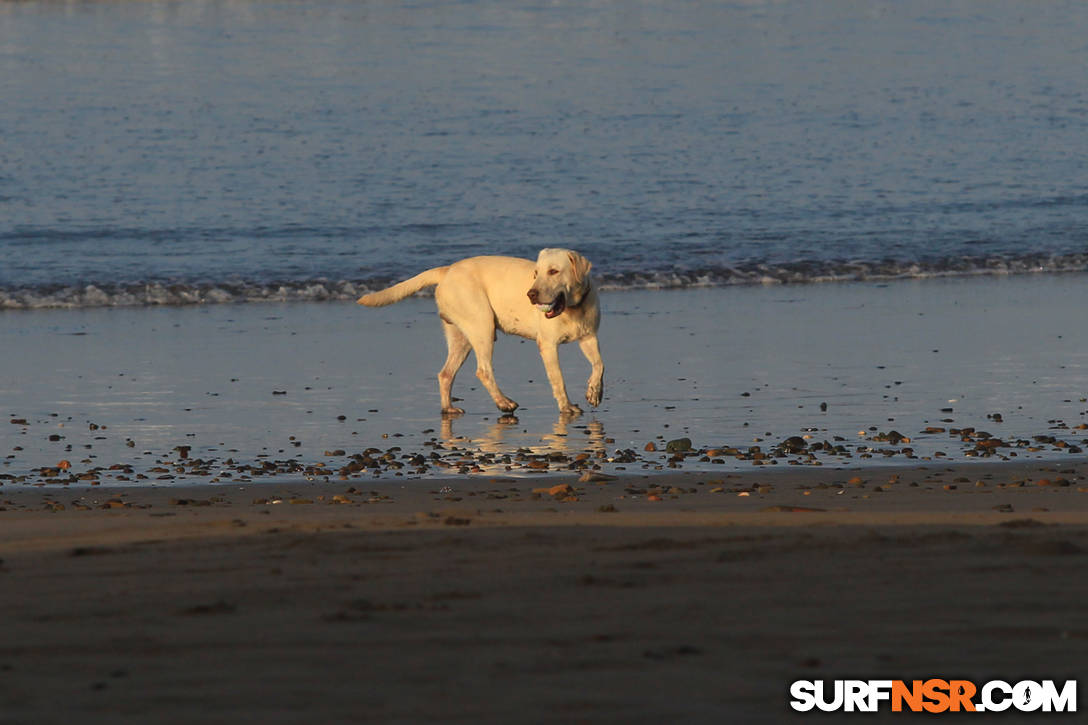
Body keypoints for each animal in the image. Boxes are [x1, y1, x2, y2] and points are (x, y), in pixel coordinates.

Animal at [363, 248, 604, 415]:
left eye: (554, 271)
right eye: (536, 273)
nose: (531, 294)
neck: (574, 306)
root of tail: (447, 270)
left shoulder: (589, 337)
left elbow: (599, 364)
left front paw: (595, 392)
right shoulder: (548, 346)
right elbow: (559, 379)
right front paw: (567, 406)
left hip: (461, 338)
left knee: (445, 374)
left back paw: (448, 408)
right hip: (483, 327)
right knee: (483, 371)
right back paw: (504, 403)